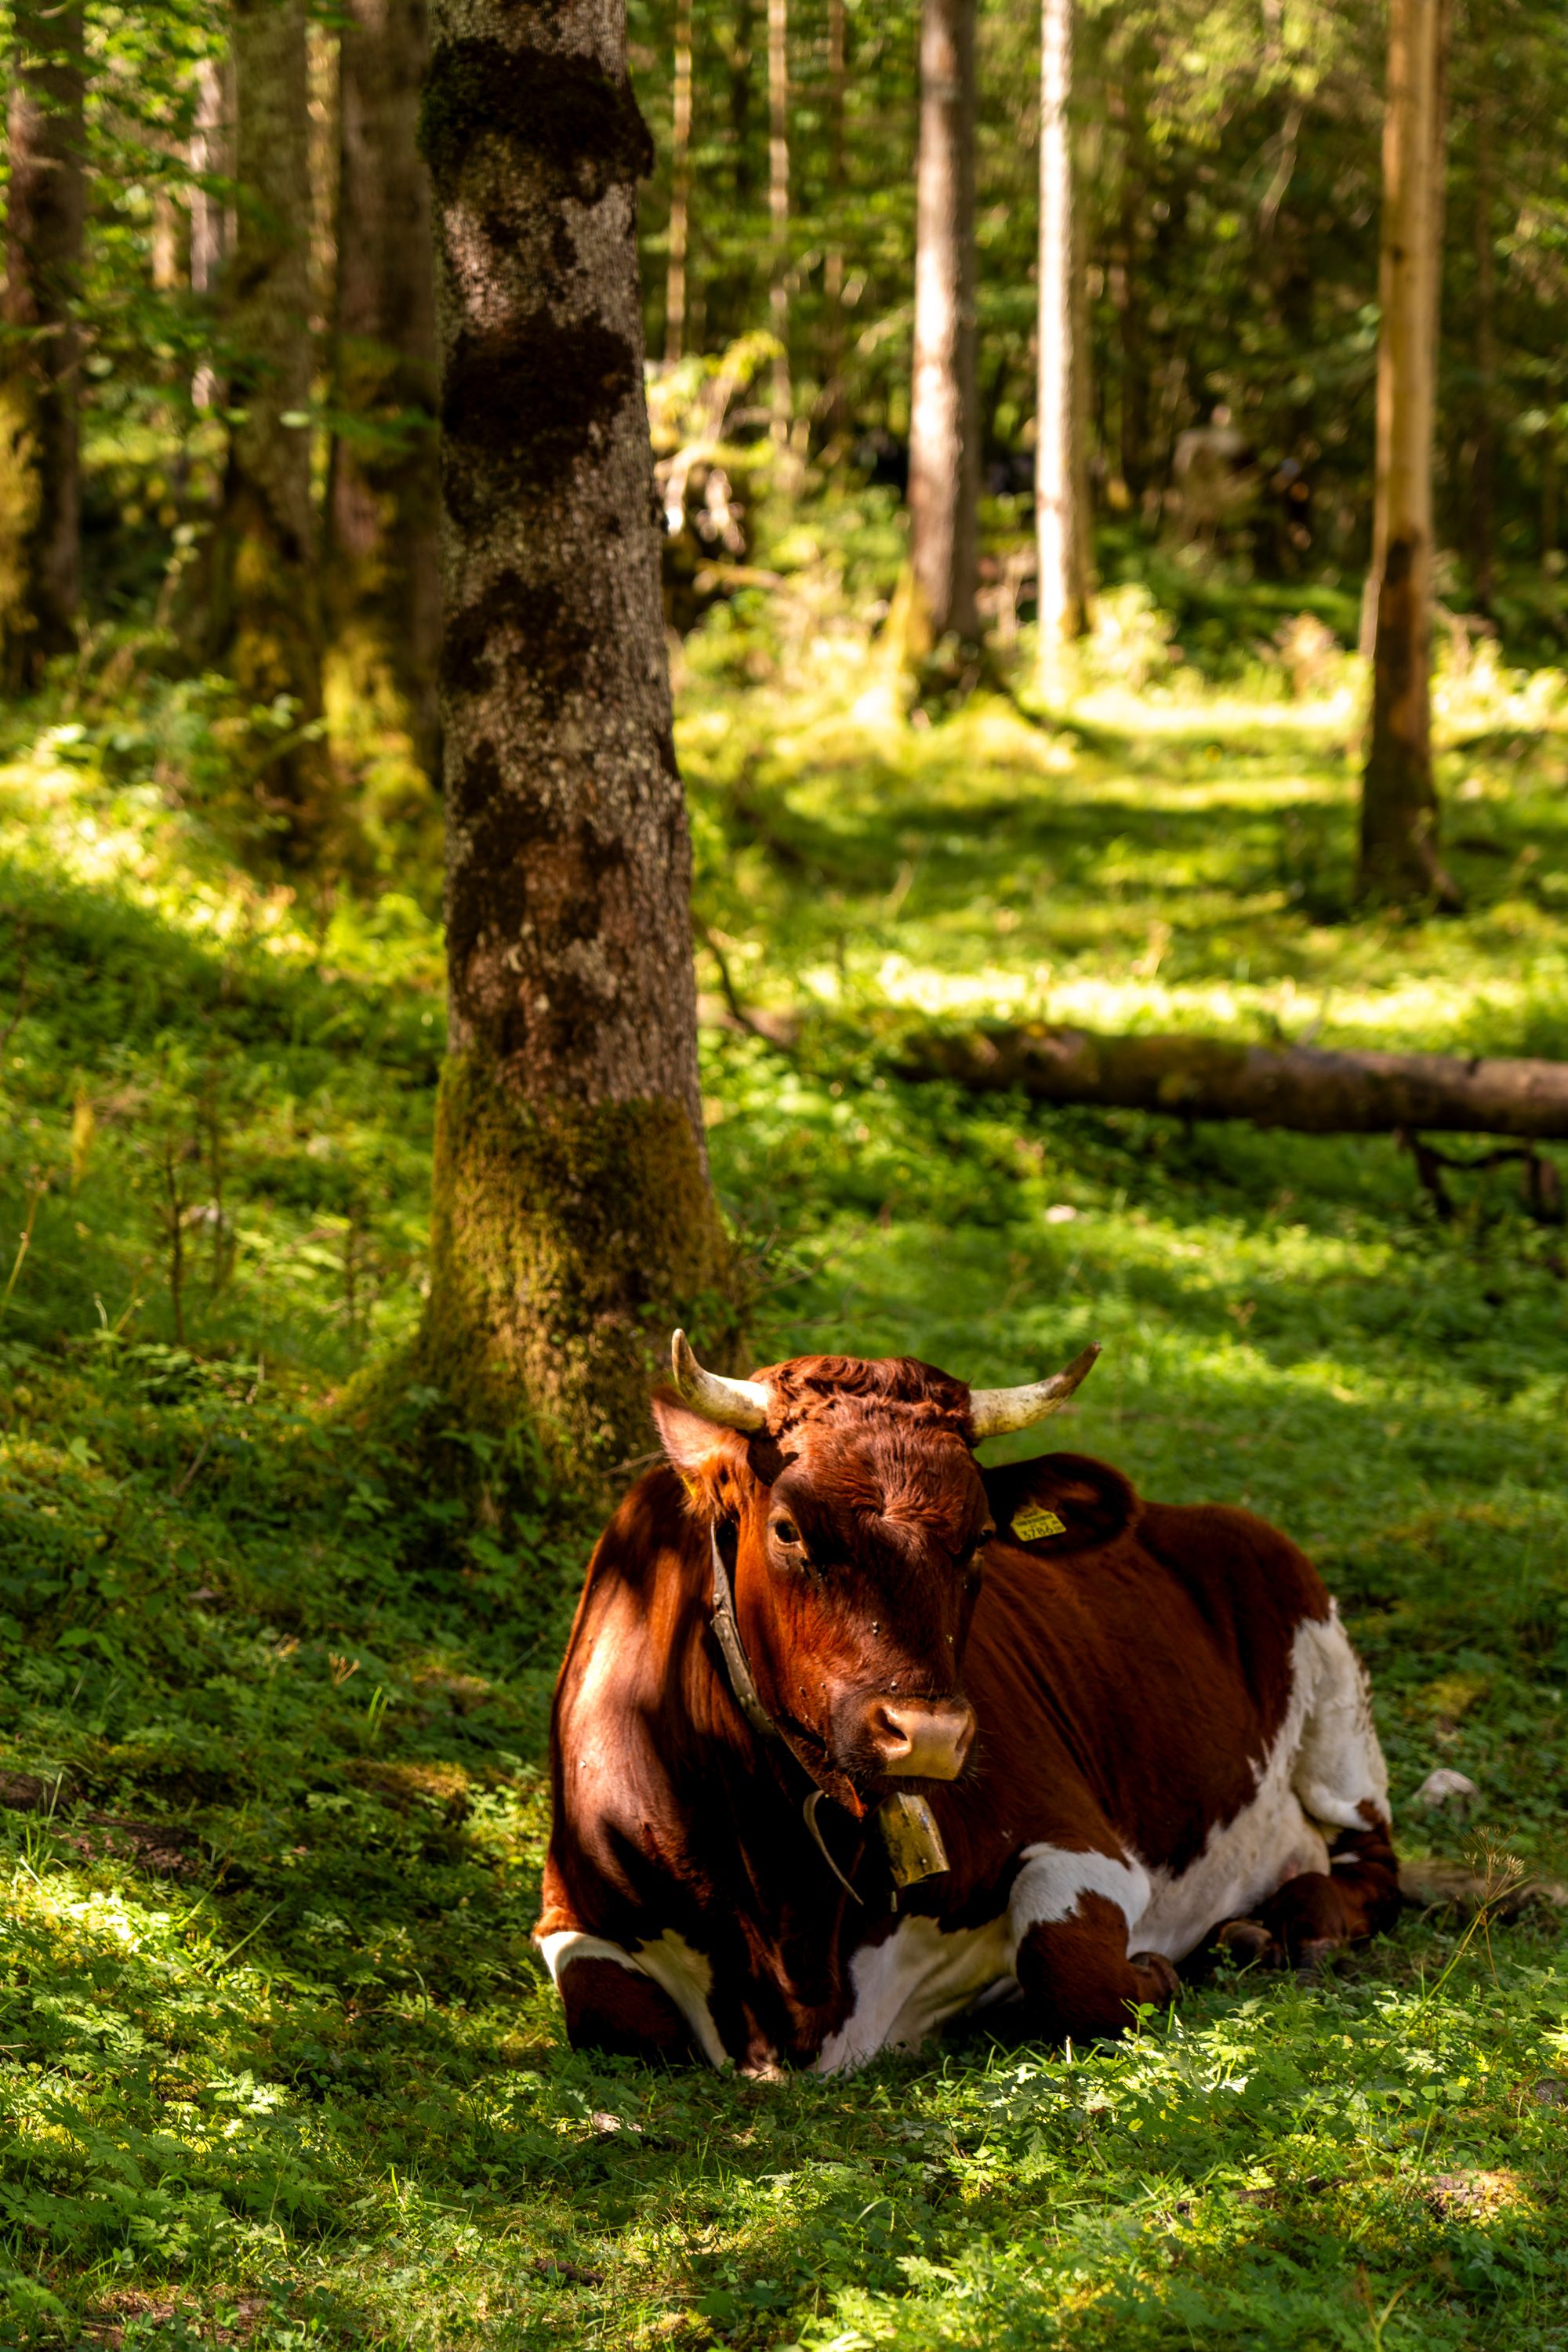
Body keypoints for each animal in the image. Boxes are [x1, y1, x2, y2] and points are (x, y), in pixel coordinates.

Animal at [535, 1335, 1399, 2072]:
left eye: (979, 1536)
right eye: (787, 1529)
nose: (926, 1735)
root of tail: (1197, 1512)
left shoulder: (1083, 1842)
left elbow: (1067, 1964)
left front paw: (1150, 1971)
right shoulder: (572, 1912)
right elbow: (611, 2015)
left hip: (1334, 1719)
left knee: (1370, 1867)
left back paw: (1284, 1924)